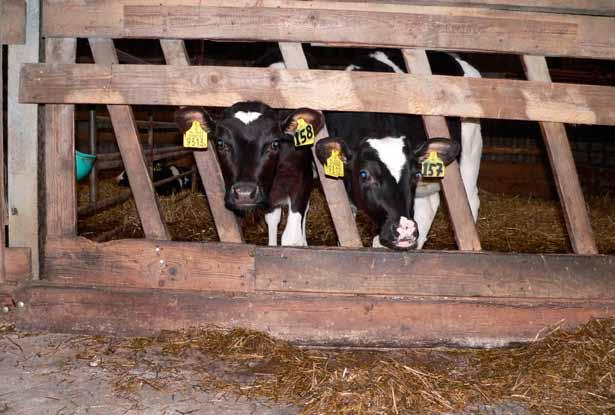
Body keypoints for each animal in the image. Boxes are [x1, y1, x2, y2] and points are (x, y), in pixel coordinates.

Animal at [176, 102, 324, 247]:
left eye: (274, 144)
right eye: (221, 143)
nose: (244, 194)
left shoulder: (302, 179)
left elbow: (291, 239)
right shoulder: (269, 194)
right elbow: (272, 220)